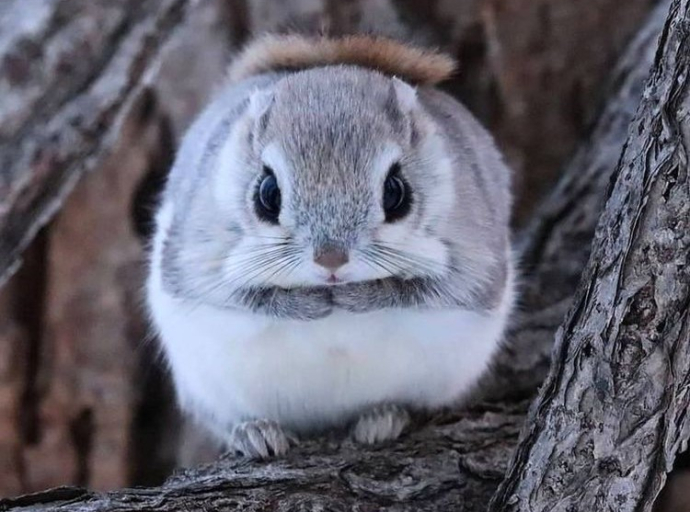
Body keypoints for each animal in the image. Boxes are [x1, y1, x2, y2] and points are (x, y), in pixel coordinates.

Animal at [145, 34, 512, 458]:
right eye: (267, 194)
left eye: (396, 193)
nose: (331, 260)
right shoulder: (198, 256)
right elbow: (242, 296)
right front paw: (307, 303)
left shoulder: (472, 258)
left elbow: (426, 290)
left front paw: (360, 296)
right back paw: (254, 433)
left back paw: (384, 418)